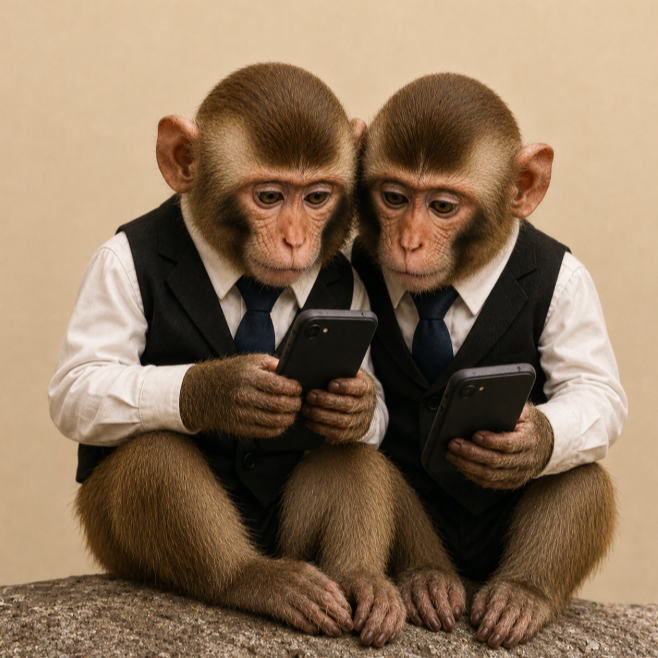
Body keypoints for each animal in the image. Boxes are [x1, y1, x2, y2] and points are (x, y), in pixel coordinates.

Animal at [49, 63, 405, 645]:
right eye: (269, 197)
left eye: (315, 198)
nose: (294, 240)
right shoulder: (113, 263)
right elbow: (80, 383)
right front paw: (228, 390)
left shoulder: (352, 292)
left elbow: (370, 409)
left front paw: (352, 404)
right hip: (114, 545)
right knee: (152, 451)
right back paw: (250, 578)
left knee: (347, 452)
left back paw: (360, 579)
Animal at [350, 73, 626, 648]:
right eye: (394, 197)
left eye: (442, 207)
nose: (408, 241)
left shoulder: (572, 283)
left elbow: (595, 390)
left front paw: (526, 443)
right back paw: (427, 577)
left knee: (579, 469)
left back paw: (522, 593)